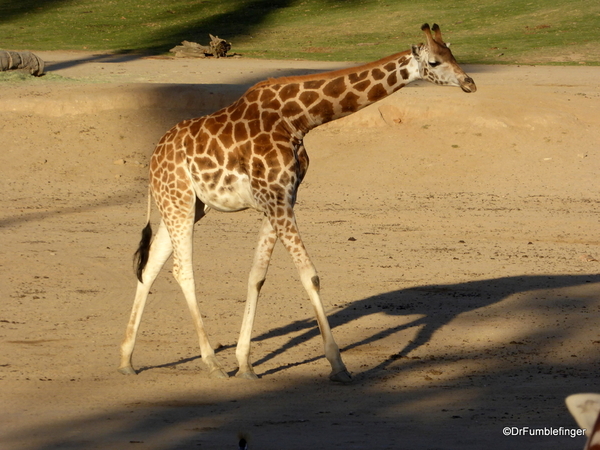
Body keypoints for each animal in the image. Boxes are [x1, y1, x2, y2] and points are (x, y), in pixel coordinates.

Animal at [117, 23, 474, 384]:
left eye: (453, 54)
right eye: (434, 61)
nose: (469, 83)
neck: (297, 119)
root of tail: (154, 155)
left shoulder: (281, 196)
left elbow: (257, 276)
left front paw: (246, 365)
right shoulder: (276, 196)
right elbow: (309, 275)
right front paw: (338, 365)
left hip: (188, 204)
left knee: (150, 265)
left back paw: (127, 359)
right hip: (178, 198)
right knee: (181, 269)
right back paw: (211, 363)